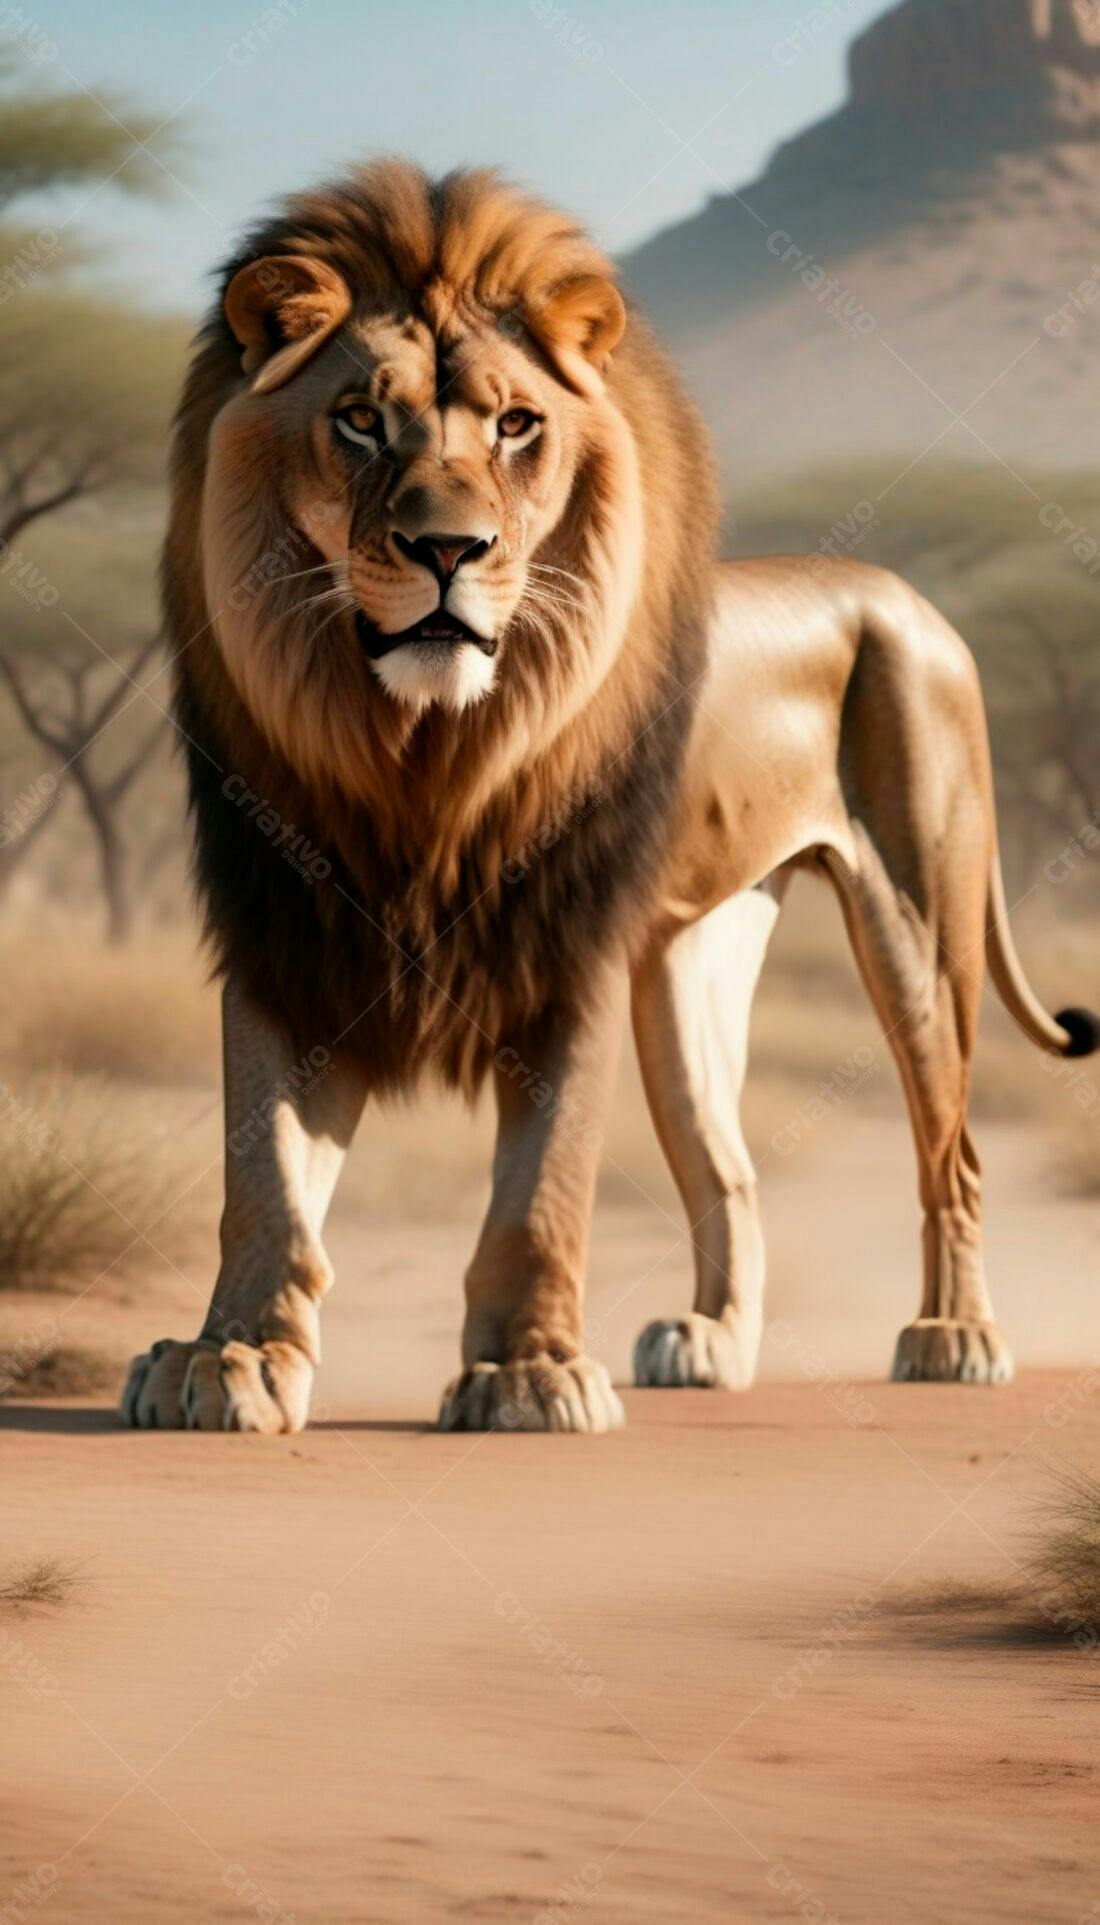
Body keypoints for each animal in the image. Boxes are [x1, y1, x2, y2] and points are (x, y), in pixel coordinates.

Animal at [122, 159, 1098, 1434]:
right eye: (358, 420)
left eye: (514, 425)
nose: (448, 549)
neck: (420, 752)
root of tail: (911, 595)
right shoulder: (288, 923)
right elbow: (265, 1176)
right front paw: (226, 1353)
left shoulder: (566, 944)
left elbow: (541, 1185)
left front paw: (526, 1370)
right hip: (690, 964)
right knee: (729, 1169)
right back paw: (711, 1341)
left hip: (916, 925)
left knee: (955, 1153)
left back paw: (955, 1336)